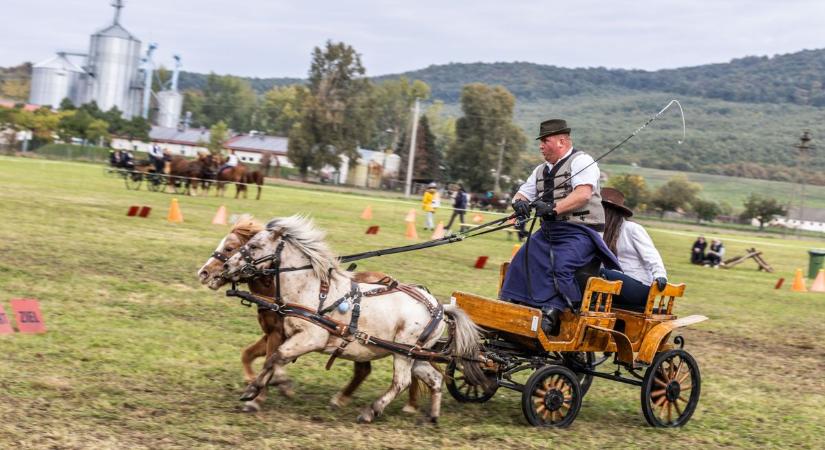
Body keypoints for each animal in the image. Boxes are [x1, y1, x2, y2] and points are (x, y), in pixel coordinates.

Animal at [196, 216, 422, 414]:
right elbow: (250, 355)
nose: (203, 273)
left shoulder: (282, 334)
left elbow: (272, 358)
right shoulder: (272, 333)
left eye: (230, 247)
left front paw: (262, 394)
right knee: (374, 369)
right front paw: (258, 384)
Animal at [219, 216, 482, 424]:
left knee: (402, 382)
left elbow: (275, 357)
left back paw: (370, 412)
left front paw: (252, 391)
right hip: (416, 354)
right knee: (434, 379)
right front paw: (265, 388)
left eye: (254, 245)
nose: (226, 267)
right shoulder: (287, 334)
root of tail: (439, 306)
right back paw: (432, 417)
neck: (313, 290)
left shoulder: (312, 337)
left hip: (404, 352)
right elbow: (272, 359)